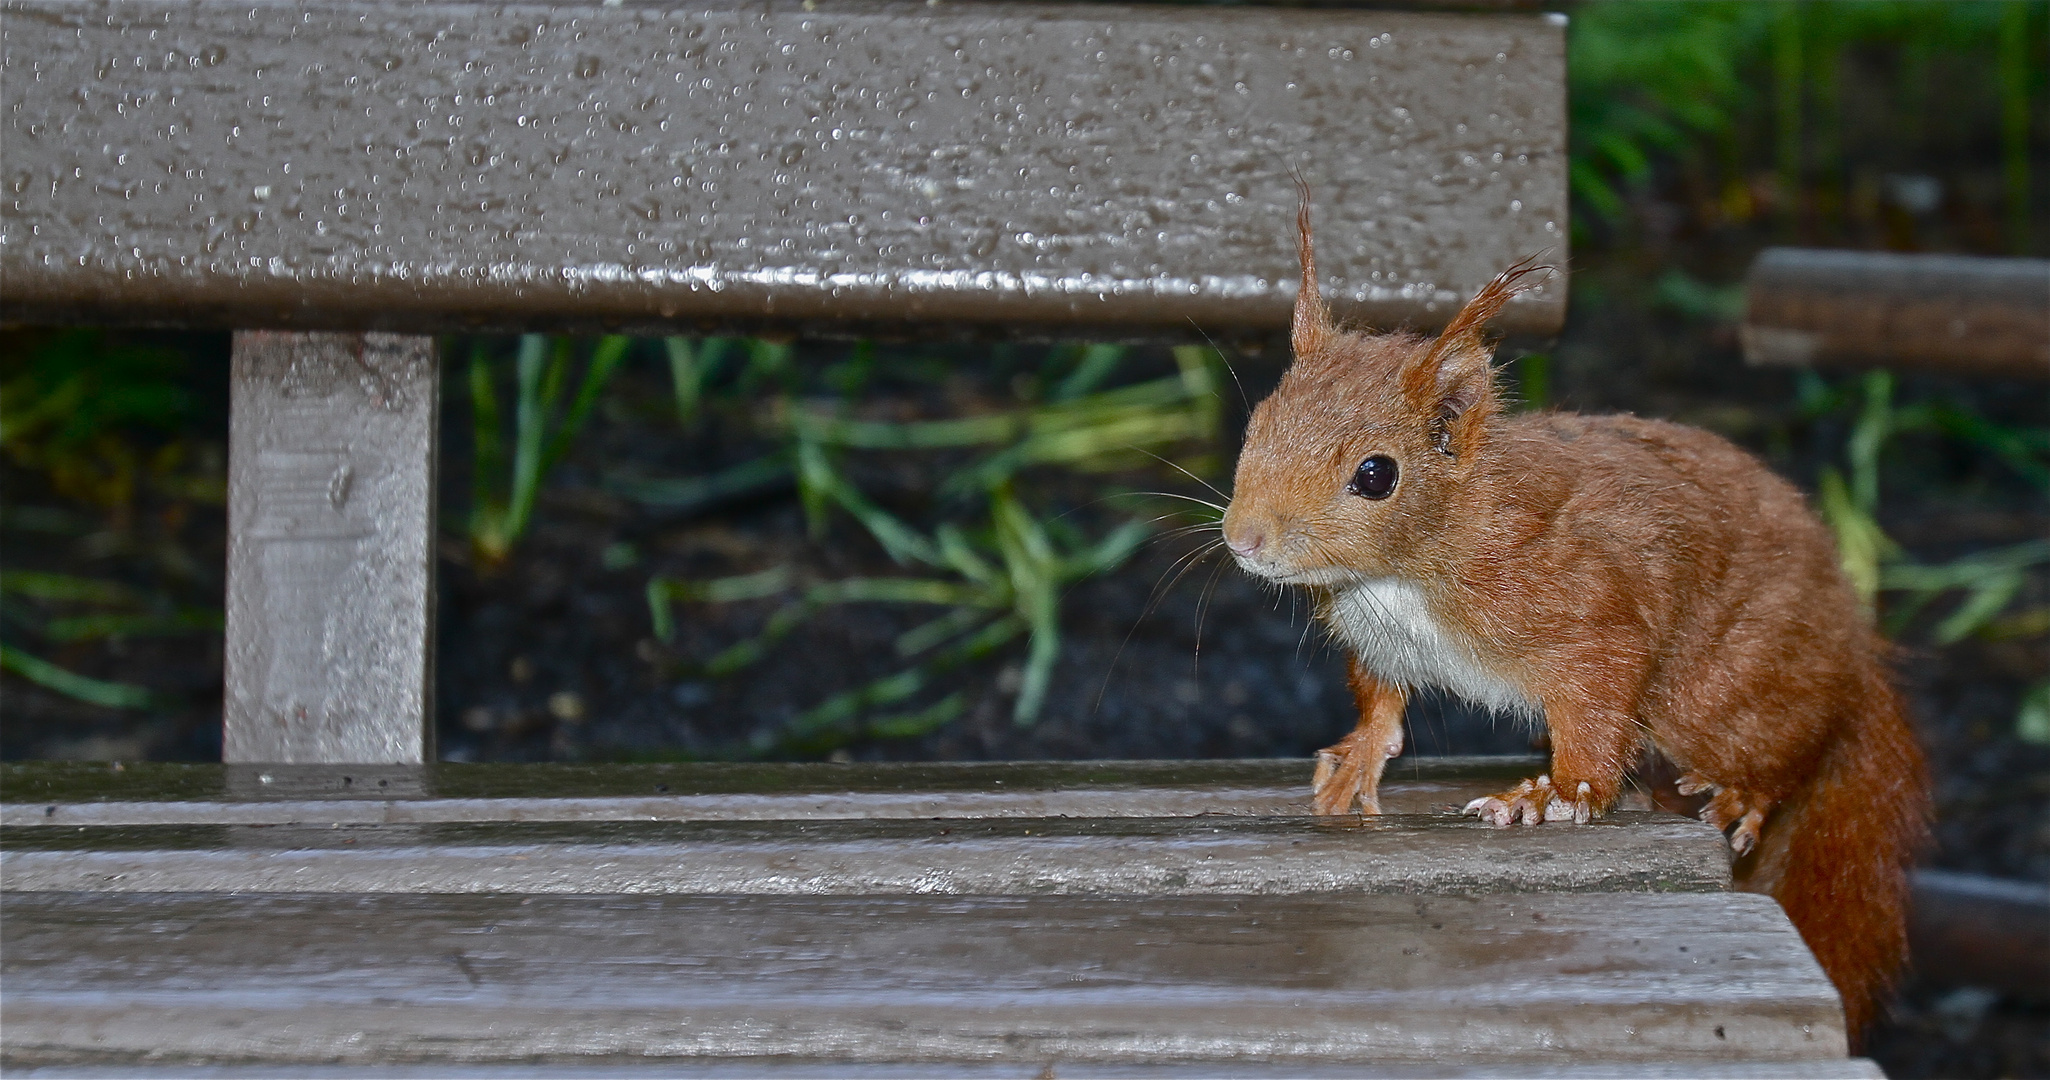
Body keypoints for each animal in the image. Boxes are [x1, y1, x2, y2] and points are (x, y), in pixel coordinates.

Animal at [1221, 190, 1927, 1045]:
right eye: (1256, 425)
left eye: (1376, 475)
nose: (1243, 539)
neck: (1397, 577)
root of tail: (1852, 656)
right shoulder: (1379, 641)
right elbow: (1381, 699)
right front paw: (1359, 756)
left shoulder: (1587, 611)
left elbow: (1596, 712)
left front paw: (1553, 795)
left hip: (1733, 689)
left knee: (1790, 747)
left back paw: (1745, 792)